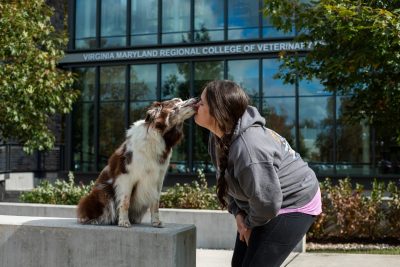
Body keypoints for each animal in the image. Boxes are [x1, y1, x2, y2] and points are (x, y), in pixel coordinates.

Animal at [76, 97, 198, 227]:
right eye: (176, 101)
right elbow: (125, 201)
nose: (196, 98)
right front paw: (124, 222)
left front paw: (156, 222)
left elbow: (155, 203)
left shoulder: (158, 179)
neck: (160, 135)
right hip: (103, 193)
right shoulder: (126, 176)